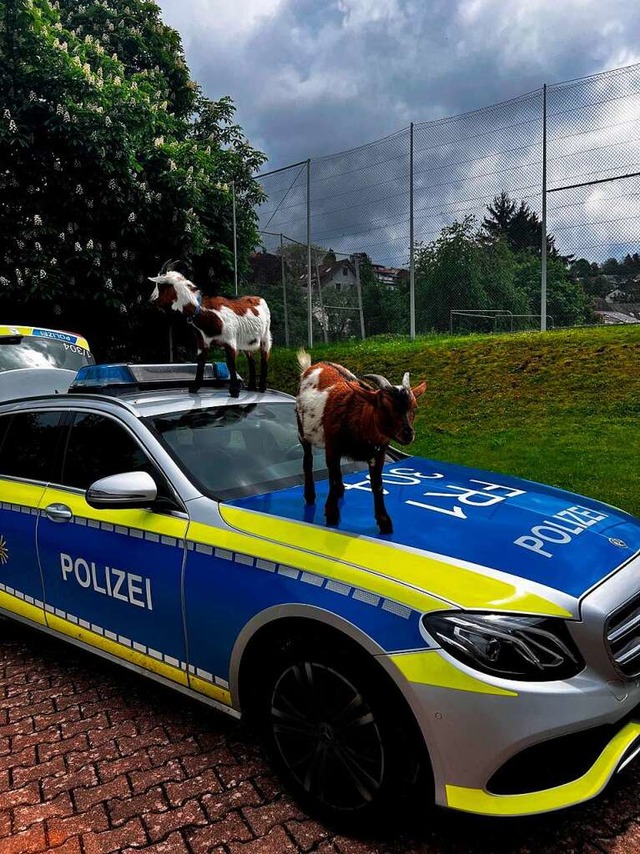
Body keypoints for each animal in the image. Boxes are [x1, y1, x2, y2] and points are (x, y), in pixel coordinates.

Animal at [149, 270, 272, 398]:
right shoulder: (202, 341)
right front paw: (195, 387)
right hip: (246, 341)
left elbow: (230, 363)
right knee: (251, 359)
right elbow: (200, 361)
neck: (205, 313)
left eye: (161, 286)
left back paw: (262, 387)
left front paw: (234, 391)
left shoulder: (230, 340)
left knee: (264, 356)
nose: (150, 300)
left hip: (265, 335)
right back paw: (252, 387)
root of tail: (258, 298)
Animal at [296, 350, 428, 536]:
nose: (408, 434)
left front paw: (384, 522)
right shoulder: (332, 447)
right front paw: (332, 515)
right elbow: (333, 480)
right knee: (308, 460)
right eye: (384, 407)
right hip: (302, 431)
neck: (358, 418)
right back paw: (310, 495)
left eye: (414, 408)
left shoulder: (378, 453)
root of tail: (313, 366)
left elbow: (377, 485)